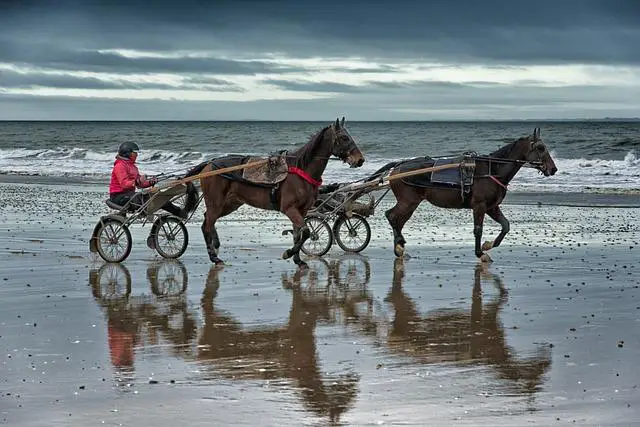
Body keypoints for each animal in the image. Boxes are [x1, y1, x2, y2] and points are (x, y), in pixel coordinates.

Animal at [185, 118, 364, 268]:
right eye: (344, 138)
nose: (360, 160)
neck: (300, 170)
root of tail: (209, 163)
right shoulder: (289, 209)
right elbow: (306, 232)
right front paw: (288, 253)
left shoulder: (301, 210)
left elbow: (298, 234)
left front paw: (298, 260)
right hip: (216, 202)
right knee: (206, 224)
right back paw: (213, 257)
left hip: (230, 204)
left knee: (209, 220)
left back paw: (215, 247)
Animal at [382, 128, 556, 260]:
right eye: (541, 147)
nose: (553, 169)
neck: (492, 170)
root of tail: (398, 166)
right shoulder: (479, 205)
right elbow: (478, 229)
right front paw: (480, 253)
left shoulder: (492, 207)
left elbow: (506, 225)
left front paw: (488, 245)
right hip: (408, 201)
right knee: (391, 216)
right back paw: (399, 245)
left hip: (412, 203)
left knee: (398, 221)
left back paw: (399, 247)